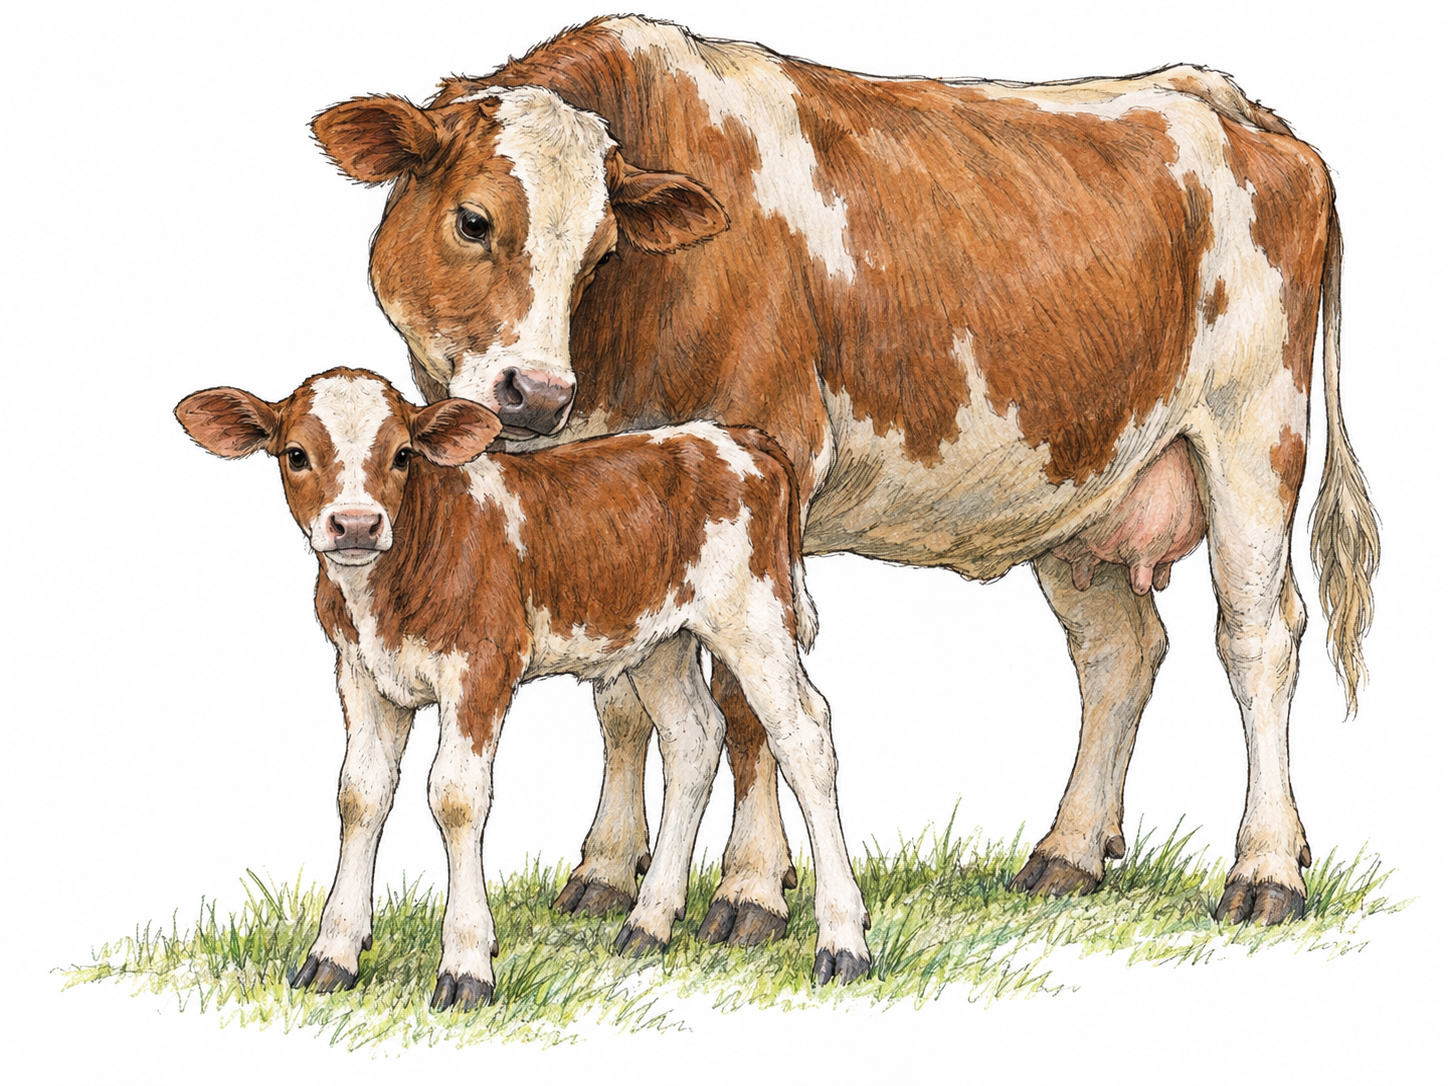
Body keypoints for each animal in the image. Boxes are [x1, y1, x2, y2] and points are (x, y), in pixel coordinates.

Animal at [174, 367, 871, 1009]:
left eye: (401, 454)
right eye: (296, 454)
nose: (355, 523)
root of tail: (734, 436)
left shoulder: (482, 666)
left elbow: (455, 796)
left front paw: (466, 966)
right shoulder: (362, 674)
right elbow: (360, 795)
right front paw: (333, 954)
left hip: (753, 617)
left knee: (803, 734)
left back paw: (842, 942)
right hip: (659, 640)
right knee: (693, 739)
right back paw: (648, 922)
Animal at [310, 15, 1379, 939]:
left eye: (601, 249)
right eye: (472, 220)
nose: (535, 394)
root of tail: (1228, 102)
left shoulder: (765, 462)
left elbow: (748, 710)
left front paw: (749, 889)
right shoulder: (610, 503)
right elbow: (619, 701)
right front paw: (608, 875)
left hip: (1253, 428)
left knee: (1257, 639)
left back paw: (1266, 869)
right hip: (1086, 486)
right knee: (1120, 651)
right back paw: (1068, 854)